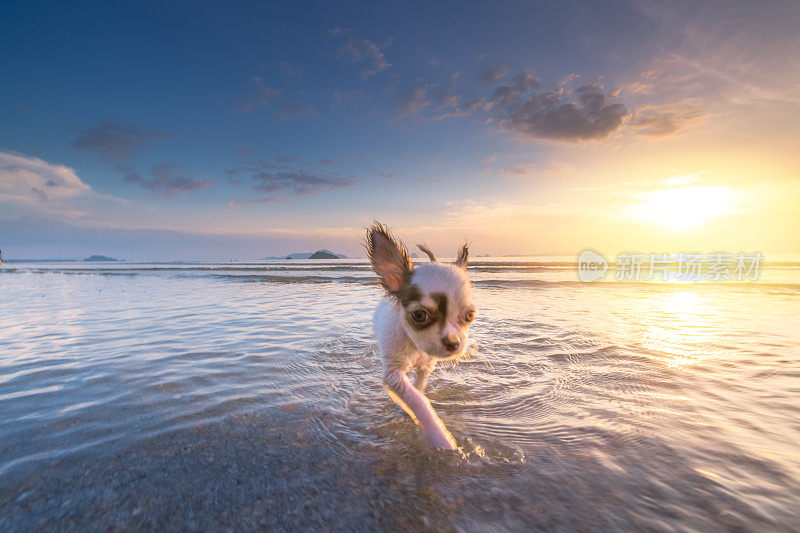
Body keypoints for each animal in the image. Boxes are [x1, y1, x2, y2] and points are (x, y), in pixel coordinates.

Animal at [368, 220, 476, 448]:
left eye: (469, 316)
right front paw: (441, 436)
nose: (454, 342)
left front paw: (407, 407)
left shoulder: (426, 366)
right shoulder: (393, 374)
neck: (415, 346)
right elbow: (418, 399)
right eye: (419, 315)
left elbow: (418, 388)